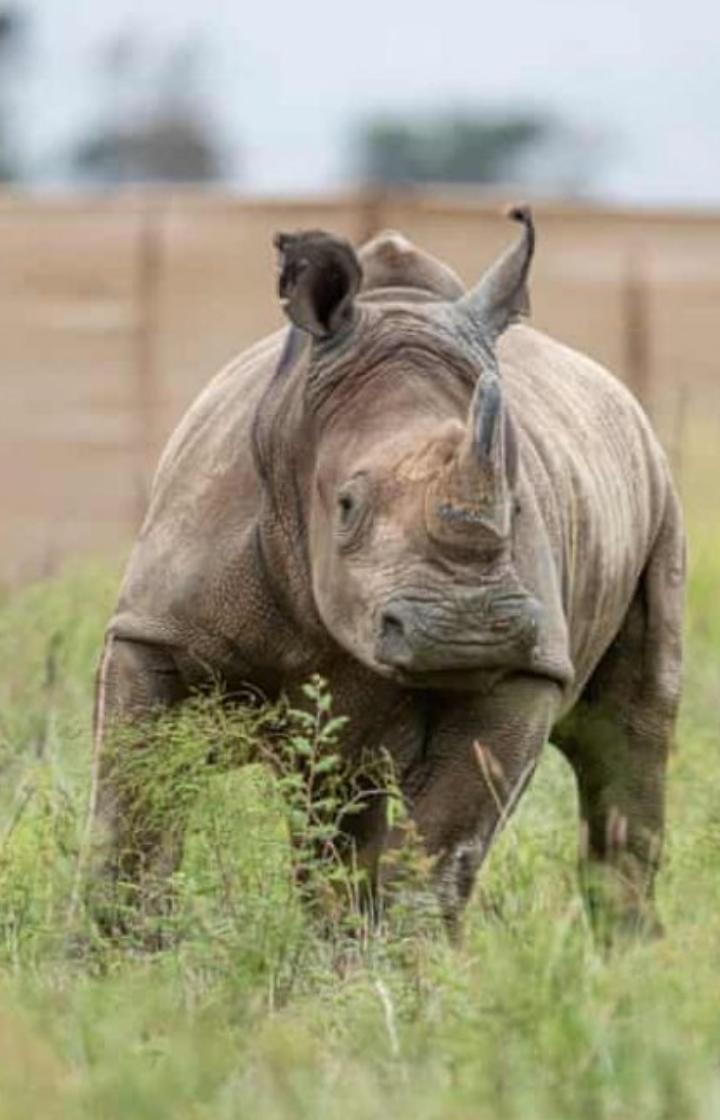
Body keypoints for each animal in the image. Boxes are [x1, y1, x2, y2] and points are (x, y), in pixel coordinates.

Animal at [90, 207, 684, 937]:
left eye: (517, 506)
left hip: (657, 496)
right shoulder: (158, 629)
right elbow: (134, 813)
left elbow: (441, 850)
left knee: (629, 739)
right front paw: (111, 954)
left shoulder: (524, 665)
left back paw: (624, 952)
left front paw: (409, 963)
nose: (466, 630)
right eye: (346, 504)